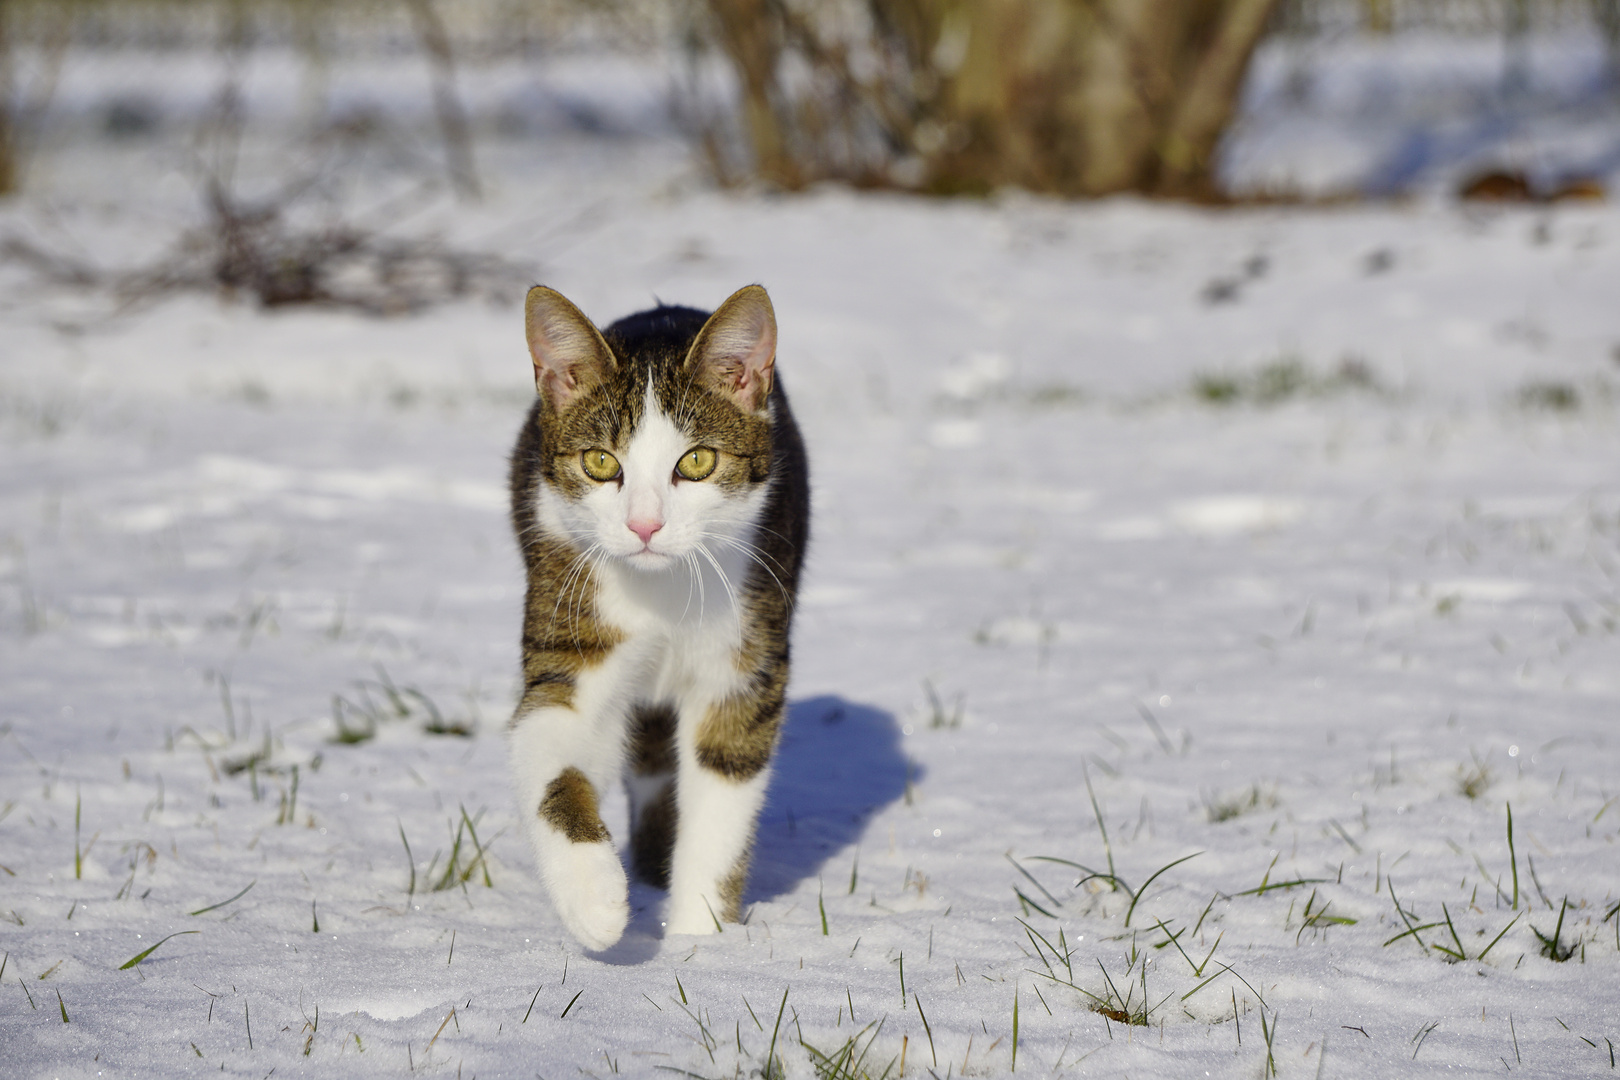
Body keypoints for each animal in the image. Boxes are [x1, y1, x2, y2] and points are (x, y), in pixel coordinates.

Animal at [505, 283, 810, 952]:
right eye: (599, 462)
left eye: (696, 462)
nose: (644, 526)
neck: (662, 590)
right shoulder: (570, 611)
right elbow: (552, 737)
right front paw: (593, 898)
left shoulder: (745, 656)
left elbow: (724, 781)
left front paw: (700, 942)